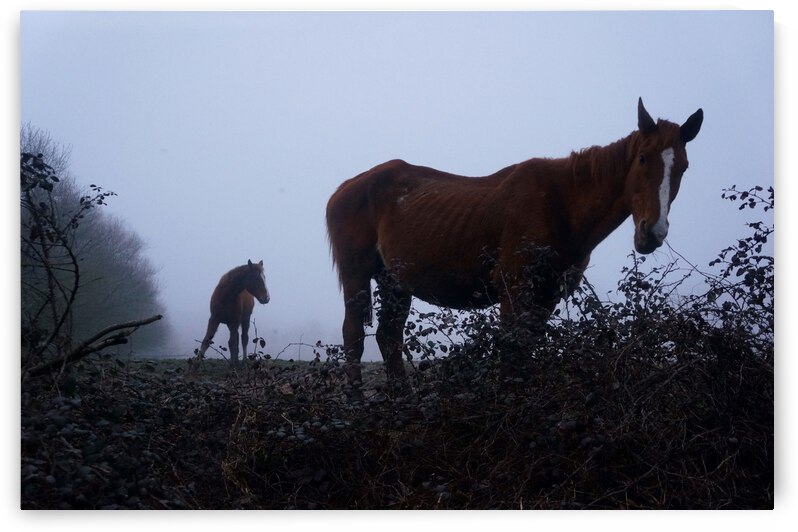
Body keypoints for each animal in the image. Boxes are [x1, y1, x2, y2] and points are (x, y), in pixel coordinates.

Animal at [326, 98, 703, 388]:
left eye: (683, 167)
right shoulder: (515, 289)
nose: (653, 232)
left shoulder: (547, 296)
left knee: (388, 337)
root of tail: (342, 189)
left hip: (395, 282)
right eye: (642, 158)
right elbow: (511, 356)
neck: (561, 204)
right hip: (357, 276)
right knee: (353, 336)